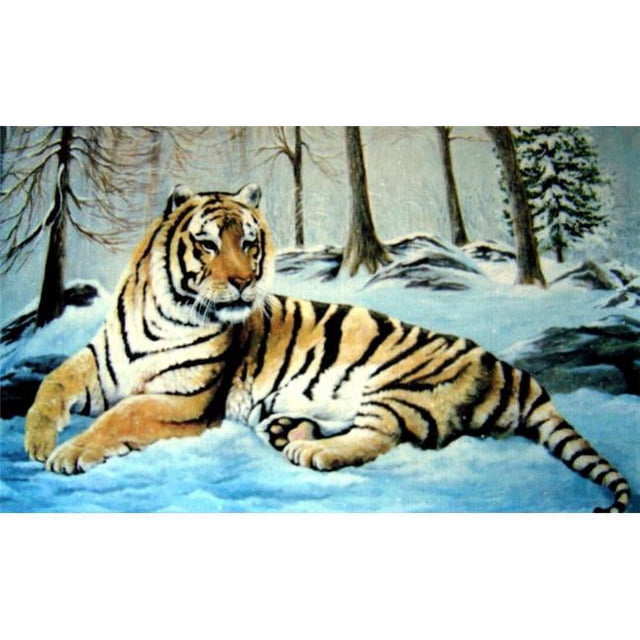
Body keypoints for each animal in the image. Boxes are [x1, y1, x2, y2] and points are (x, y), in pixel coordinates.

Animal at [24, 183, 631, 513]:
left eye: (250, 242)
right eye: (208, 243)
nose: (243, 282)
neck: (164, 313)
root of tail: (513, 371)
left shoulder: (186, 399)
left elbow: (122, 417)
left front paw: (70, 454)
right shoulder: (101, 365)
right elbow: (52, 383)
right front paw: (38, 441)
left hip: (398, 385)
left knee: (379, 436)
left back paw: (314, 451)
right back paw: (291, 433)